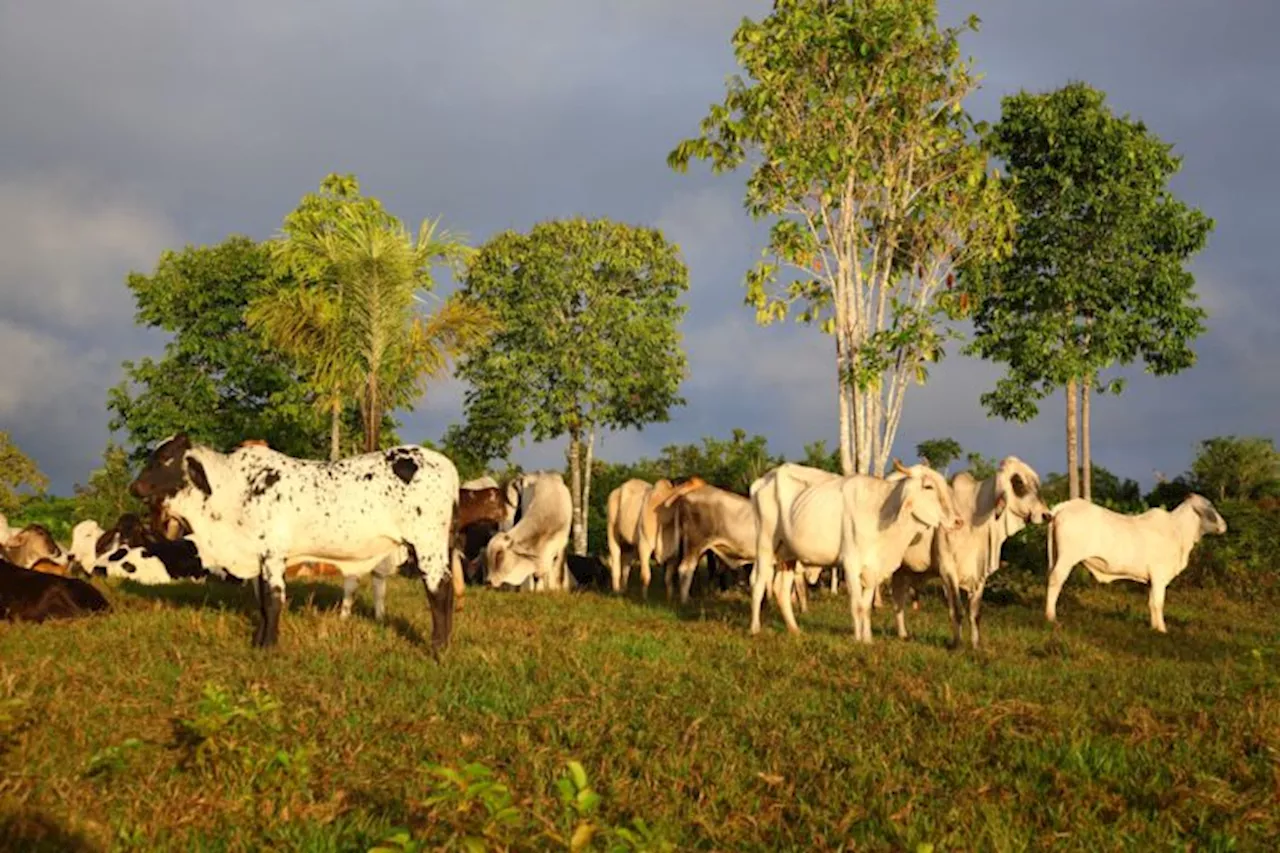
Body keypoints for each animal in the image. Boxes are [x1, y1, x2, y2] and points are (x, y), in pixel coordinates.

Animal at [128, 435, 460, 648]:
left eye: (165, 458)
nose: (135, 487)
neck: (233, 489)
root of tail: (445, 465)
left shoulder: (273, 554)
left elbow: (274, 600)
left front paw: (269, 647)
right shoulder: (260, 558)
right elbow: (262, 603)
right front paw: (258, 642)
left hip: (427, 543)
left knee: (438, 589)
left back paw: (437, 648)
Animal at [747, 458, 962, 637]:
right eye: (928, 486)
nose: (958, 521)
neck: (880, 512)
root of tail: (765, 478)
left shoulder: (873, 568)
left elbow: (866, 607)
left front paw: (867, 639)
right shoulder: (850, 563)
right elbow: (857, 605)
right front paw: (858, 640)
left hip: (788, 554)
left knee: (781, 590)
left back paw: (794, 629)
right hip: (765, 544)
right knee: (758, 583)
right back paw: (755, 629)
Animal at [890, 458, 1049, 645]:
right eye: (1019, 482)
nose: (1047, 515)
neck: (973, 517)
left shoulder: (980, 572)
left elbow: (975, 613)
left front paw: (975, 644)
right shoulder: (948, 569)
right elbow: (957, 611)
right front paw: (957, 644)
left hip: (901, 570)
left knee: (898, 600)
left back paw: (902, 634)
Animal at [1049, 491, 1228, 630]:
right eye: (1210, 506)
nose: (1224, 525)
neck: (1178, 530)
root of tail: (1066, 506)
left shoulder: (1152, 581)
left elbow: (1151, 603)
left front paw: (1154, 627)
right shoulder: (1159, 576)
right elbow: (1158, 603)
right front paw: (1162, 629)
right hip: (1066, 559)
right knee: (1055, 581)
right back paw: (1050, 617)